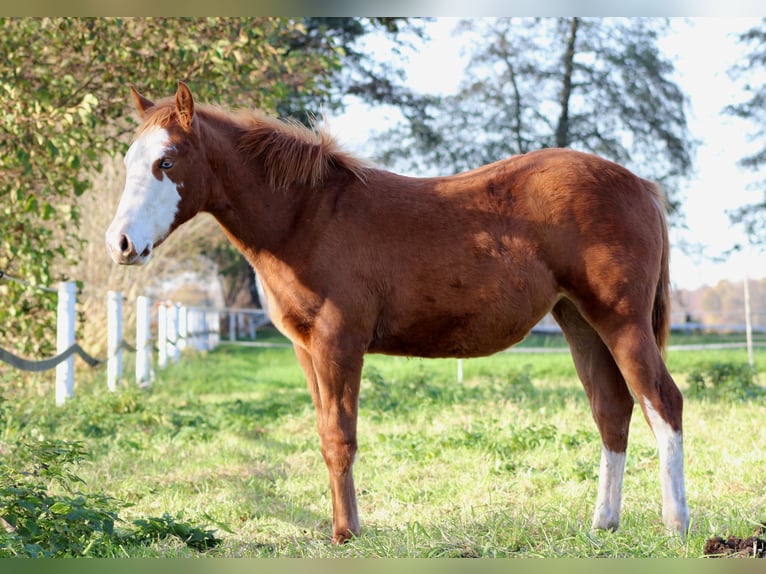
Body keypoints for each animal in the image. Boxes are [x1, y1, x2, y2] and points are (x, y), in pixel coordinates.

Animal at [105, 82, 689, 544]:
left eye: (167, 162)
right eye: (129, 162)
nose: (121, 244)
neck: (306, 216)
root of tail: (641, 185)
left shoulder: (339, 342)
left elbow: (341, 438)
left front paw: (347, 535)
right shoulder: (305, 349)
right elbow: (326, 436)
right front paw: (345, 528)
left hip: (621, 321)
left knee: (663, 402)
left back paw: (676, 524)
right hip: (579, 321)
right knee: (613, 409)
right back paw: (603, 524)